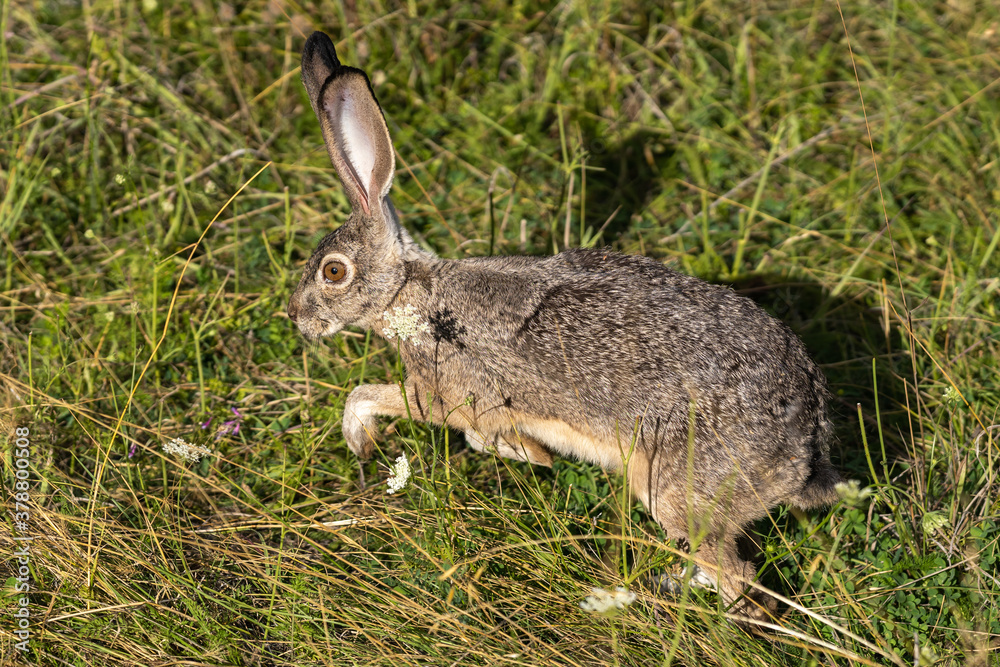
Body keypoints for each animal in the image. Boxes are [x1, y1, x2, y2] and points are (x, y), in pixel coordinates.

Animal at [287, 31, 842, 622]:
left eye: (333, 272)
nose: (296, 317)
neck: (413, 293)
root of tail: (805, 446)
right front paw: (524, 452)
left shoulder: (442, 394)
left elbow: (371, 397)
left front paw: (363, 443)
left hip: (674, 488)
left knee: (735, 576)